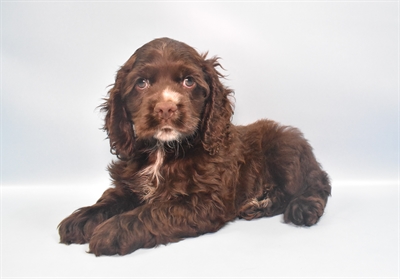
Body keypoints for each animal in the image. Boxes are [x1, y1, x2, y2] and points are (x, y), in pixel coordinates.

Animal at [57, 38, 332, 258]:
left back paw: (301, 207)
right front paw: (82, 218)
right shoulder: (130, 184)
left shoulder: (205, 201)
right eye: (141, 83)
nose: (166, 108)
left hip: (285, 150)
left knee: (316, 183)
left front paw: (112, 231)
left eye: (188, 81)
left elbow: (155, 210)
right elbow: (111, 198)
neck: (163, 150)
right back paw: (258, 204)